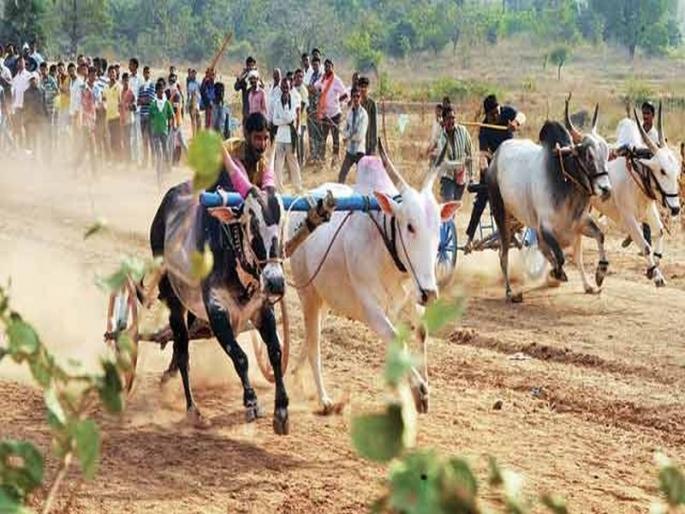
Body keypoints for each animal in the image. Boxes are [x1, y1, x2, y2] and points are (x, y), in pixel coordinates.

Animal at [149, 149, 291, 435]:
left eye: (282, 224)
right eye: (251, 223)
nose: (275, 282)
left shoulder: (262, 309)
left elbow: (275, 351)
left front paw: (281, 411)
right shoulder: (216, 310)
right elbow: (240, 357)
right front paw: (251, 402)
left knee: (181, 346)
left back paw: (169, 376)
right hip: (174, 301)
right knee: (183, 351)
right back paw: (193, 410)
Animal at [288, 141, 460, 414]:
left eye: (438, 228)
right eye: (410, 226)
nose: (430, 293)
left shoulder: (411, 298)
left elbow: (421, 333)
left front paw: (421, 389)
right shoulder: (372, 311)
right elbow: (397, 341)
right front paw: (418, 390)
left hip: (324, 299)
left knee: (310, 336)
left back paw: (295, 374)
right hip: (307, 294)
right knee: (314, 343)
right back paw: (324, 398)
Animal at [487, 101, 612, 302]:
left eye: (607, 153)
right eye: (588, 155)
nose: (606, 189)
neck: (565, 180)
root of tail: (496, 156)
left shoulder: (579, 224)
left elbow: (595, 240)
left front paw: (597, 277)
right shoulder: (546, 227)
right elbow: (561, 257)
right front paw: (557, 273)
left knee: (541, 248)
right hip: (500, 212)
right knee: (503, 253)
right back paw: (510, 292)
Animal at [591, 103, 681, 287]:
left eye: (677, 170)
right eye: (662, 171)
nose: (675, 209)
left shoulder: (648, 212)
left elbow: (660, 232)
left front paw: (653, 268)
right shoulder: (628, 218)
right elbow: (645, 246)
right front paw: (657, 275)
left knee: (597, 231)